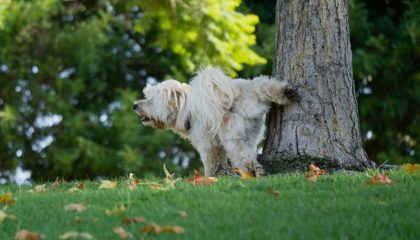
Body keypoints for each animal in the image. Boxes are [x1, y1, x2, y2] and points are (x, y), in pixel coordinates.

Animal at [133, 67, 296, 176]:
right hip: (253, 103)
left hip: (232, 136)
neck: (188, 109)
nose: (134, 105)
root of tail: (236, 98)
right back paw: (286, 92)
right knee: (265, 85)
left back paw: (249, 172)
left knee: (244, 157)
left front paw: (211, 177)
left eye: (150, 100)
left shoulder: (208, 144)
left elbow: (213, 161)